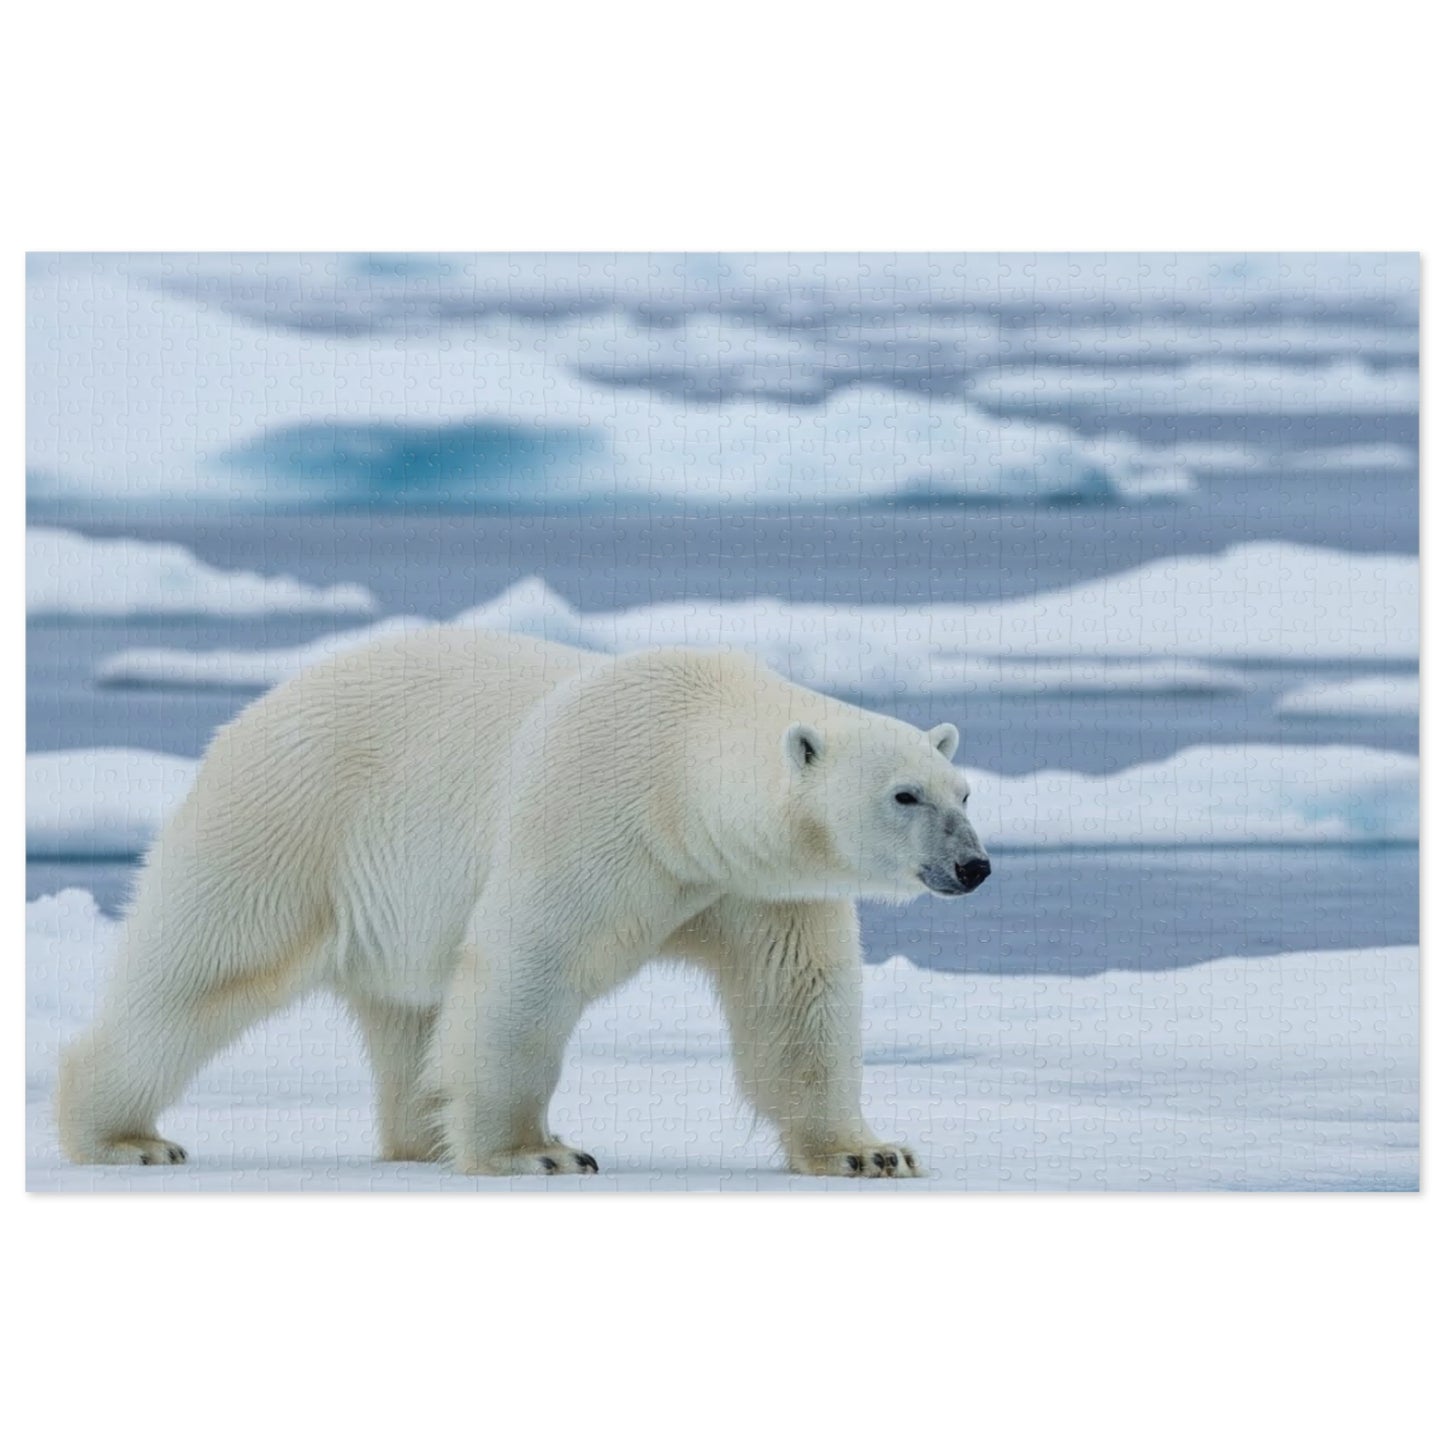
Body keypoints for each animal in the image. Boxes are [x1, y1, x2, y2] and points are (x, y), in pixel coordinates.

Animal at [56, 628, 991, 1177]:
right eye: (904, 794)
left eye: (963, 789)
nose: (974, 865)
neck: (680, 770)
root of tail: (254, 709)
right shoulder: (592, 811)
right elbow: (528, 968)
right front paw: (536, 1150)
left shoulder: (755, 883)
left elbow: (797, 999)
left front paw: (870, 1151)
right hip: (287, 824)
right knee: (198, 972)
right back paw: (124, 1135)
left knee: (411, 1014)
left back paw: (425, 1134)